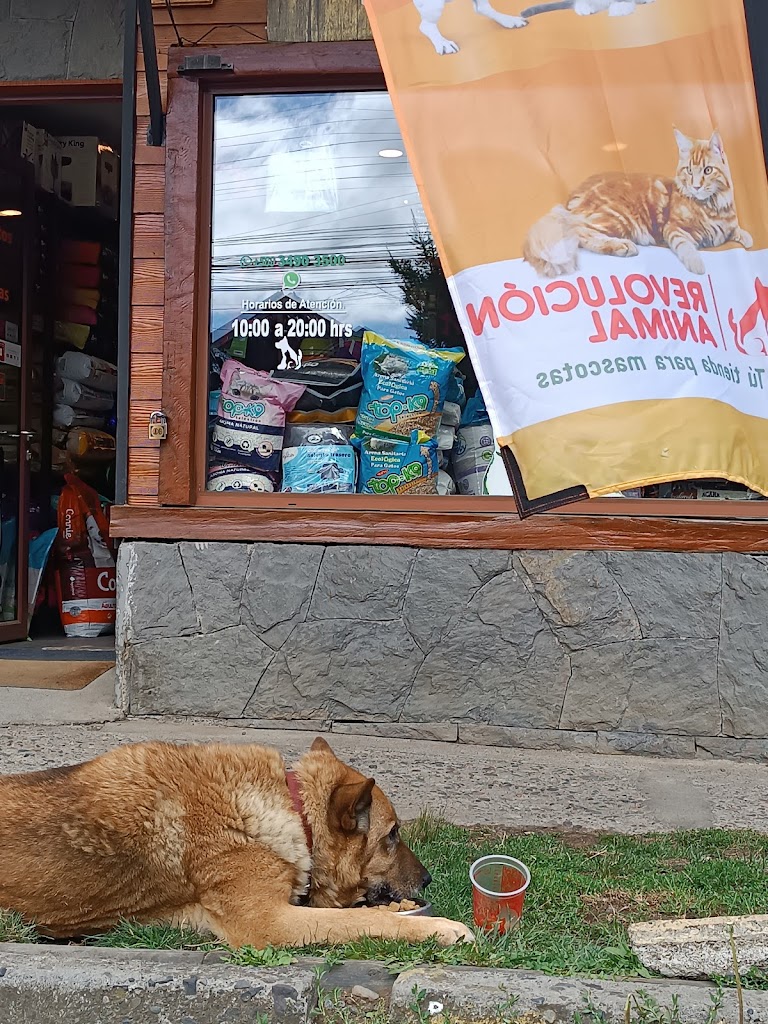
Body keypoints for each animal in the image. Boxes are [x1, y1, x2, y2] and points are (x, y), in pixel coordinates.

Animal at [0, 737, 474, 949]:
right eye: (392, 835)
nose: (428, 881)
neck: (291, 810)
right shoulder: (268, 922)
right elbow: (363, 921)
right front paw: (438, 927)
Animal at [523, 129, 753, 278]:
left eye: (707, 170)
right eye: (689, 170)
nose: (696, 186)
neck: (714, 207)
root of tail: (572, 197)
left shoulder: (727, 227)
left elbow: (739, 232)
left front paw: (746, 238)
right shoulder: (674, 229)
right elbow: (687, 248)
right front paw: (697, 265)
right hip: (618, 217)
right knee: (578, 231)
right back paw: (621, 246)